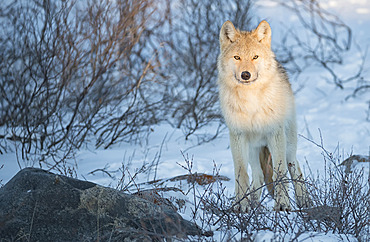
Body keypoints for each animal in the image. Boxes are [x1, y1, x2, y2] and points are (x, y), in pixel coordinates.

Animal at [217, 19, 310, 211]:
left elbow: (280, 173)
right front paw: (241, 206)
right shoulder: (238, 136)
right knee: (258, 176)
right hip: (253, 150)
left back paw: (305, 202)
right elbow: (241, 173)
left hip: (288, 145)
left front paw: (282, 205)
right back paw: (253, 204)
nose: (246, 74)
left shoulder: (275, 134)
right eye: (237, 57)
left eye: (255, 57)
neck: (251, 102)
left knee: (295, 167)